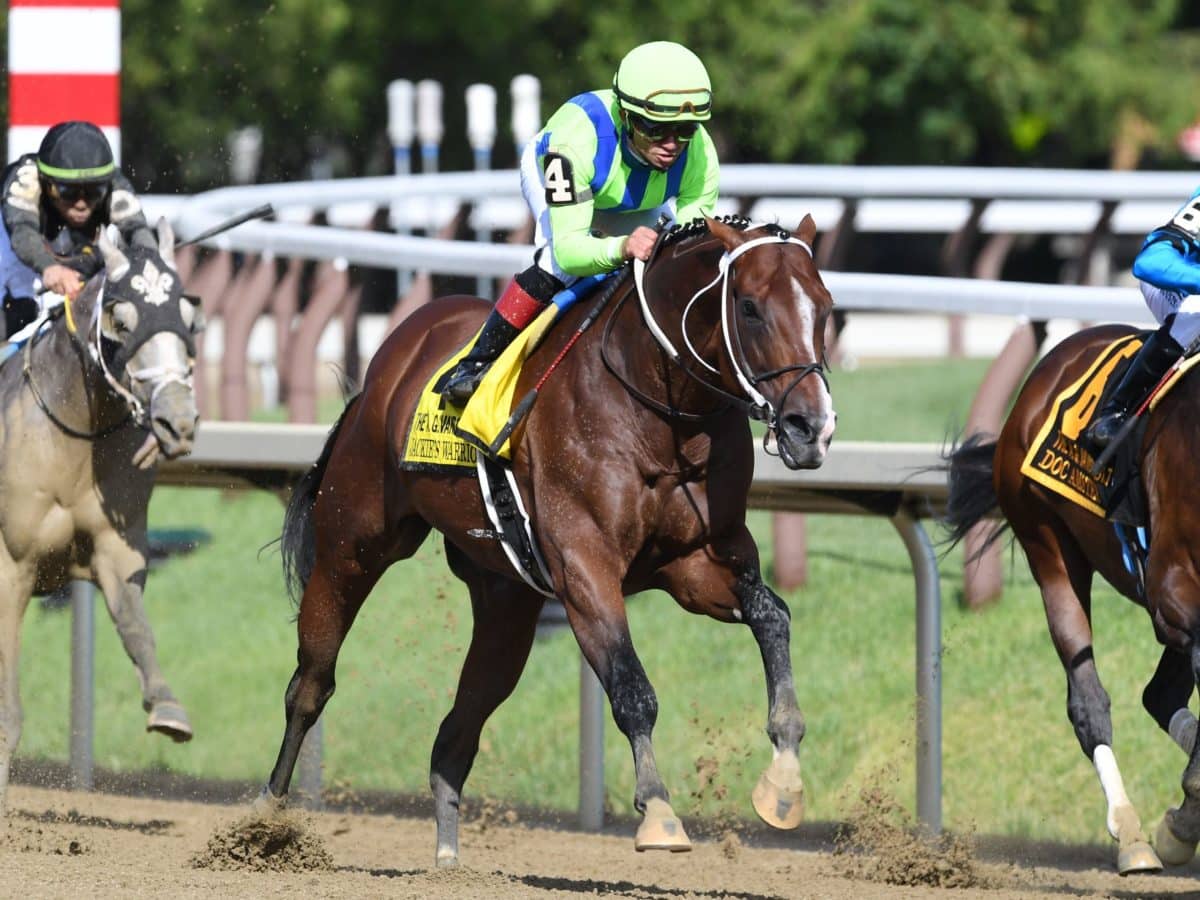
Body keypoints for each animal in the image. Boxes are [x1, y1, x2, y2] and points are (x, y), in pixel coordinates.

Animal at [0, 220, 201, 816]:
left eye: (187, 317)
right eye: (121, 319)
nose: (177, 421)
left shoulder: (116, 548)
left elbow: (136, 627)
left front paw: (167, 708)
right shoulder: (10, 564)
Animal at [945, 324, 1200, 873]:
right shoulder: (1172, 590)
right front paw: (1182, 820)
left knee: (1160, 694)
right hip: (1047, 545)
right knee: (1088, 703)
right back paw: (1132, 837)